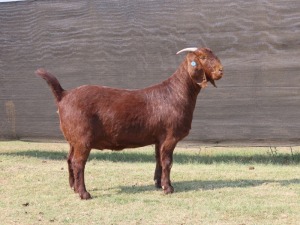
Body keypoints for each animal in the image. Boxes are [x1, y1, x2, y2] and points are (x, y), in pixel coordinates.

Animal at [36, 47, 223, 199]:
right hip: (83, 139)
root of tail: (63, 95)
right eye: (203, 57)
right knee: (78, 163)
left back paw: (73, 188)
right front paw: (168, 188)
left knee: (69, 159)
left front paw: (158, 184)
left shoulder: (159, 138)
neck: (175, 93)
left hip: (72, 139)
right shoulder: (170, 136)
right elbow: (167, 162)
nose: (221, 70)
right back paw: (84, 194)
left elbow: (158, 159)